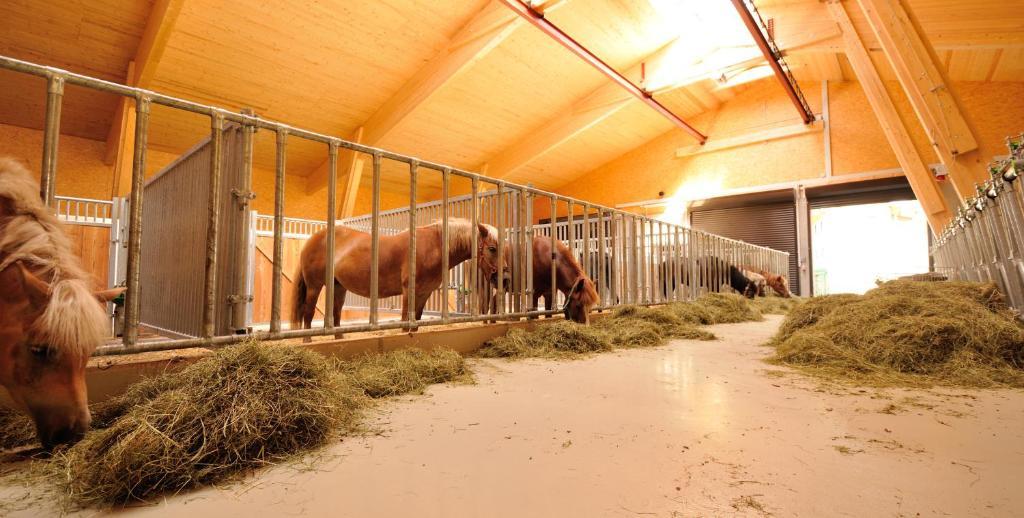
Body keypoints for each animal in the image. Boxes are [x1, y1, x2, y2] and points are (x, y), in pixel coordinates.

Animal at [294, 218, 501, 331]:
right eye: (492, 248)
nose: (501, 277)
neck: (432, 247)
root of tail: (314, 238)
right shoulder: (409, 291)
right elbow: (404, 321)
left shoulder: (424, 293)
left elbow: (416, 321)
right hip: (314, 286)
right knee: (308, 313)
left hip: (338, 286)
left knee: (335, 316)